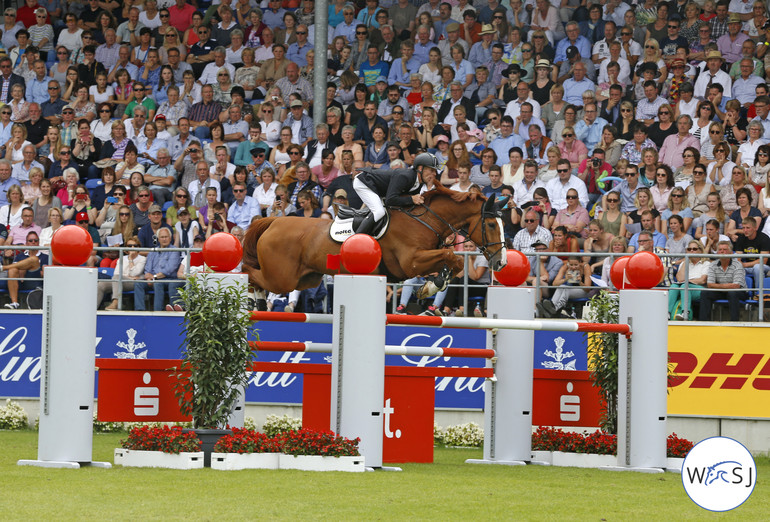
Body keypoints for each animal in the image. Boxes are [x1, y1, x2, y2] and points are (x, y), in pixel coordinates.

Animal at [240, 185, 504, 294]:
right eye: (491, 224)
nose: (500, 263)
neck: (427, 219)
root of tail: (274, 222)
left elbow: (453, 261)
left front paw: (432, 285)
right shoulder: (411, 262)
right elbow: (451, 256)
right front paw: (433, 285)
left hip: (305, 279)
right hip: (281, 279)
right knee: (250, 272)